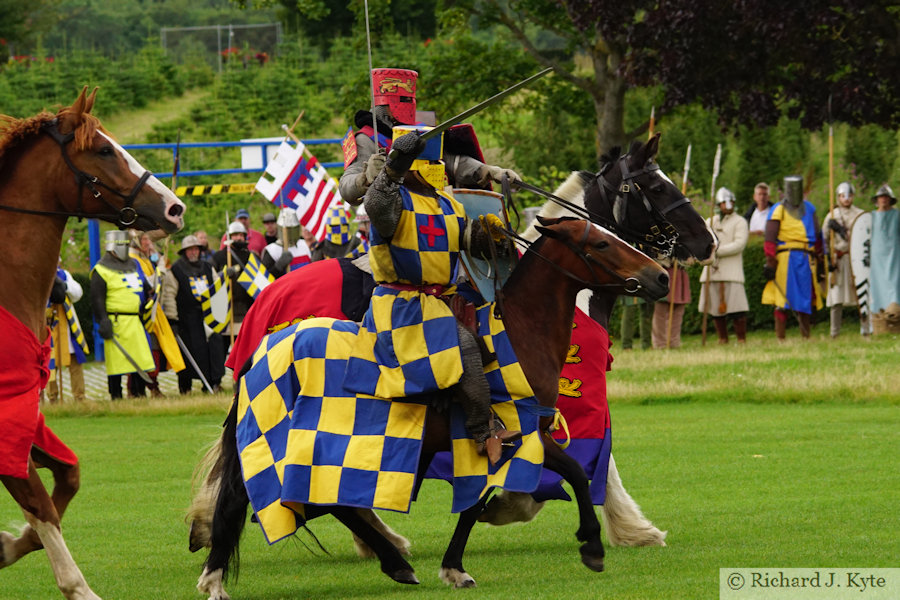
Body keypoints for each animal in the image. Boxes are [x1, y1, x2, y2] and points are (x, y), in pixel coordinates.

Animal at [0, 88, 185, 600]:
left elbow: (67, 479)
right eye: (103, 150)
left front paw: (7, 545)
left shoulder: (26, 419)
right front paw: (77, 586)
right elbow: (42, 506)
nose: (174, 208)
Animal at [192, 217, 668, 600]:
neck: (519, 333)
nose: (661, 276)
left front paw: (455, 567)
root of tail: (264, 347)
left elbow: (478, 504)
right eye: (601, 244)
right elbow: (575, 474)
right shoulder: (520, 432)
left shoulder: (493, 443)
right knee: (284, 501)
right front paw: (592, 545)